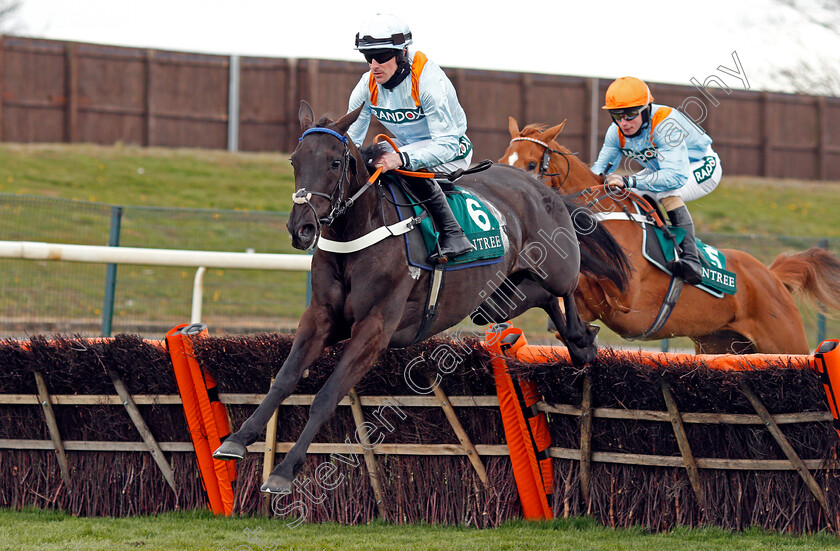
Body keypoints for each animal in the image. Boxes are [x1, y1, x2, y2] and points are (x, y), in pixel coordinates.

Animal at [212, 103, 632, 496]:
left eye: (335, 162)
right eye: (295, 161)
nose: (301, 228)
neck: (358, 235)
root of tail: (538, 184)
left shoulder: (375, 329)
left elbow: (327, 395)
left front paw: (283, 473)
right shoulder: (321, 318)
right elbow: (284, 379)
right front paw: (237, 440)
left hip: (556, 264)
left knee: (566, 288)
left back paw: (581, 342)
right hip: (494, 299)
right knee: (539, 297)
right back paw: (578, 341)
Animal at [498, 118, 840, 356]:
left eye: (532, 164)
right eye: (502, 163)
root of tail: (771, 276)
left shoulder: (628, 298)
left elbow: (593, 284)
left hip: (787, 342)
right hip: (720, 344)